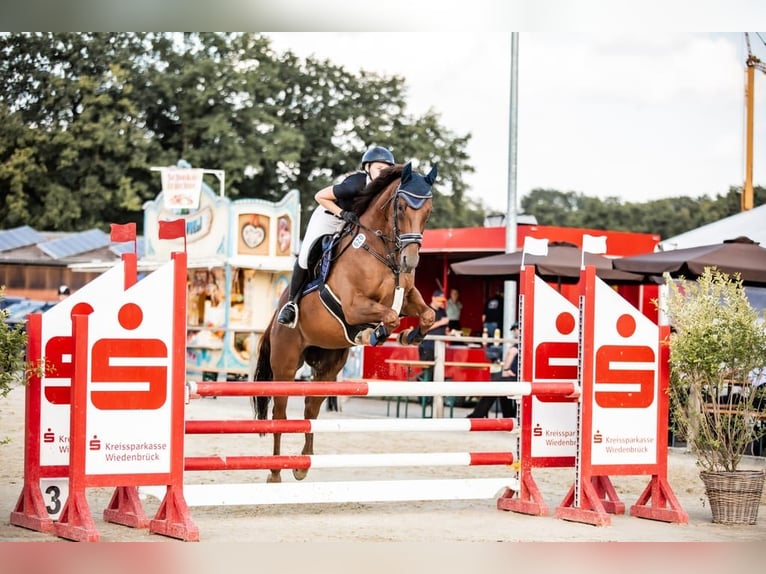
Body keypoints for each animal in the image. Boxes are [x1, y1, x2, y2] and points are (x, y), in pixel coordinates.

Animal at [254, 162, 438, 486]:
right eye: (401, 207)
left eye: (428, 211)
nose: (411, 261)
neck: (381, 249)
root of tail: (274, 321)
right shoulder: (353, 306)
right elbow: (388, 317)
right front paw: (373, 334)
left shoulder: (406, 297)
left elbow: (426, 315)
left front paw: (409, 337)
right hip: (285, 364)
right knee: (280, 413)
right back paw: (275, 474)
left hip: (328, 365)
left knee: (311, 409)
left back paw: (301, 466)